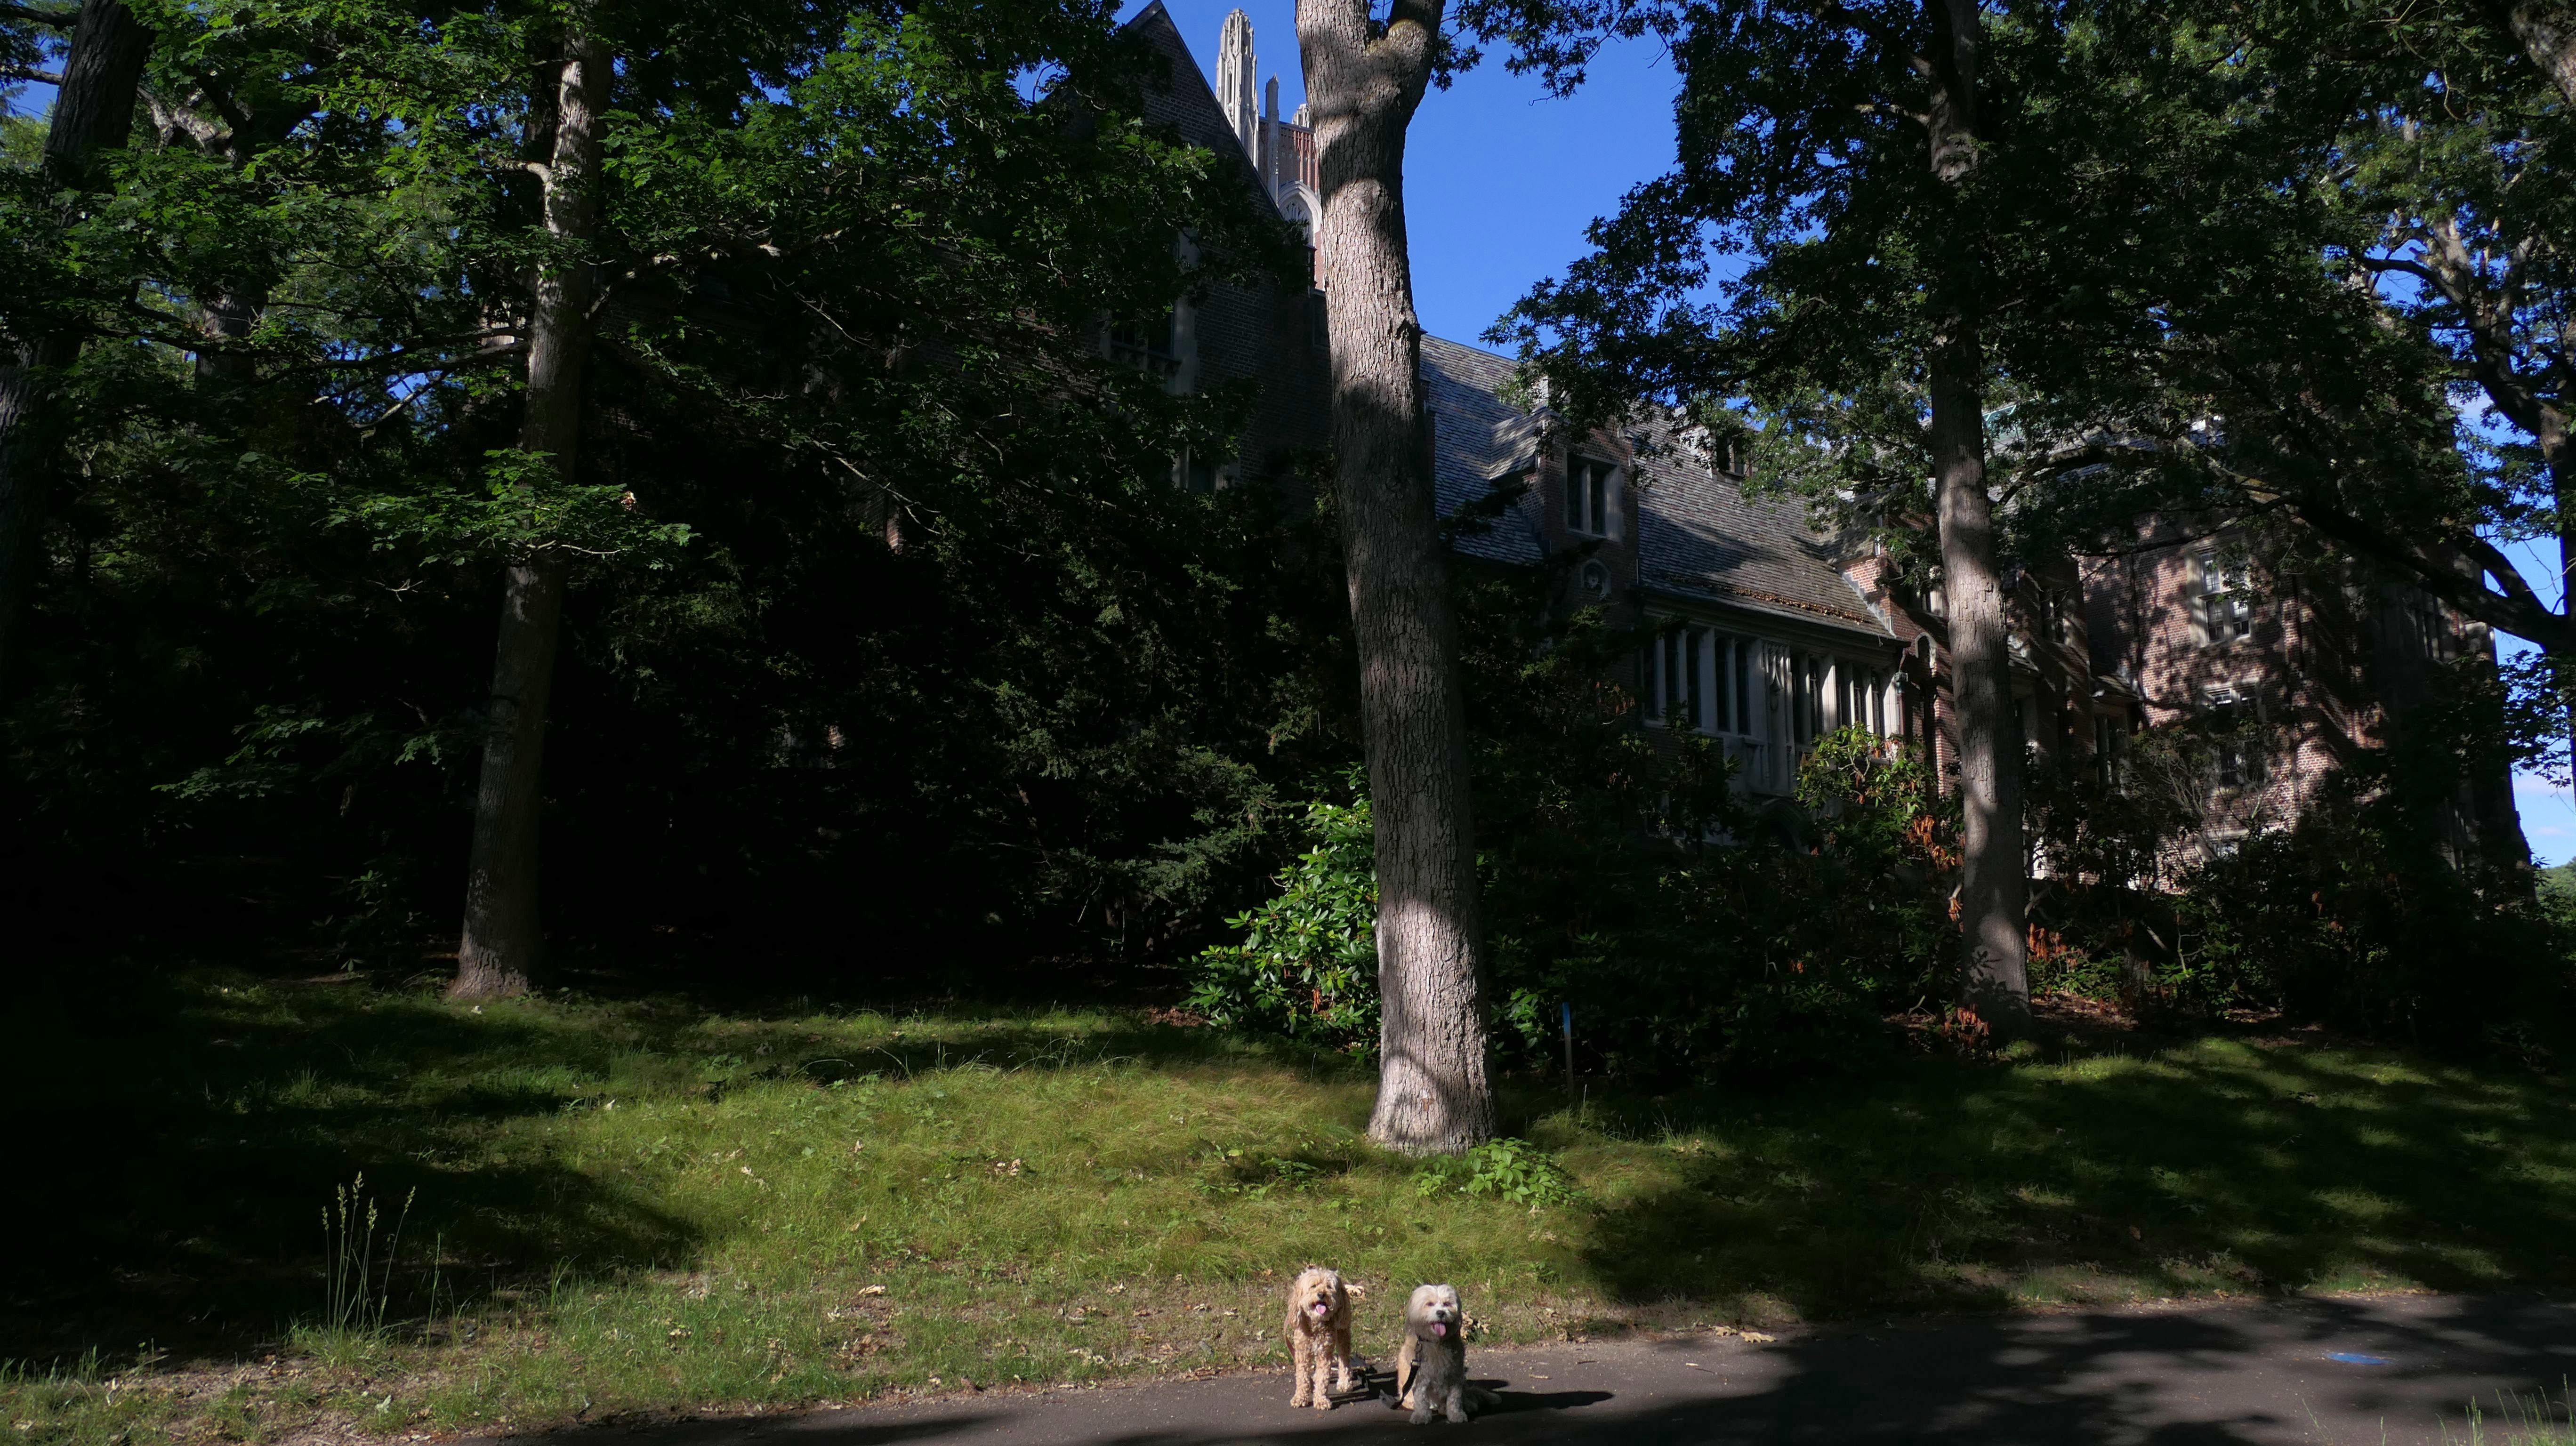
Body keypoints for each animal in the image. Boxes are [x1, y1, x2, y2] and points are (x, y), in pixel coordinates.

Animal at [1283, 1266, 1357, 1410]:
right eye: (1313, 1286)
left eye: (1329, 1287)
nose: (1321, 1294)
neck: (1316, 1326)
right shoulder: (1302, 1352)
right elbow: (1302, 1377)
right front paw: (1300, 1397)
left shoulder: (1325, 1354)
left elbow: (1324, 1378)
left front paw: (1321, 1400)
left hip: (1343, 1332)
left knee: (1344, 1358)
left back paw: (1344, 1382)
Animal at [1390, 1282, 1489, 1425]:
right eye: (1430, 1304)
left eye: (1447, 1304)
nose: (1441, 1313)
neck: (1436, 1342)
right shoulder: (1420, 1377)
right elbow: (1421, 1399)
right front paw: (1421, 1416)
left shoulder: (1455, 1375)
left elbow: (1455, 1399)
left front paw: (1456, 1415)